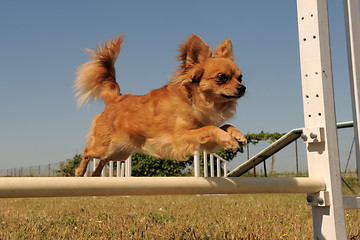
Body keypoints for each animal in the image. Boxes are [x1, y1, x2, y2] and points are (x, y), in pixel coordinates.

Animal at [74, 34, 246, 176]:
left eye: (240, 78)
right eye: (221, 77)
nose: (242, 87)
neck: (194, 102)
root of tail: (116, 98)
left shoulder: (202, 139)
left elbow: (221, 126)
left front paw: (236, 134)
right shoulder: (182, 136)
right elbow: (210, 128)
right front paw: (229, 140)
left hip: (118, 152)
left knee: (102, 161)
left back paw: (95, 176)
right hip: (104, 147)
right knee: (88, 152)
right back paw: (80, 172)